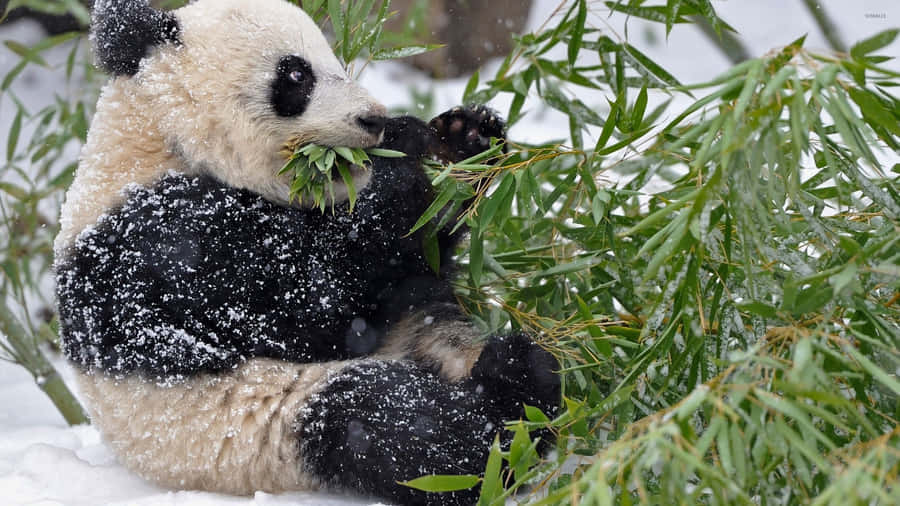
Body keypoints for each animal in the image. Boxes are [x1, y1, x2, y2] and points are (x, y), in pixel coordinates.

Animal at [54, 0, 559, 505]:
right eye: (297, 75)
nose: (374, 119)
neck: (158, 138)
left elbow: (413, 262)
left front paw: (464, 138)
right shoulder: (160, 240)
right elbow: (308, 297)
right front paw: (417, 155)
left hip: (423, 330)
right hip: (261, 423)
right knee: (388, 422)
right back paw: (511, 392)